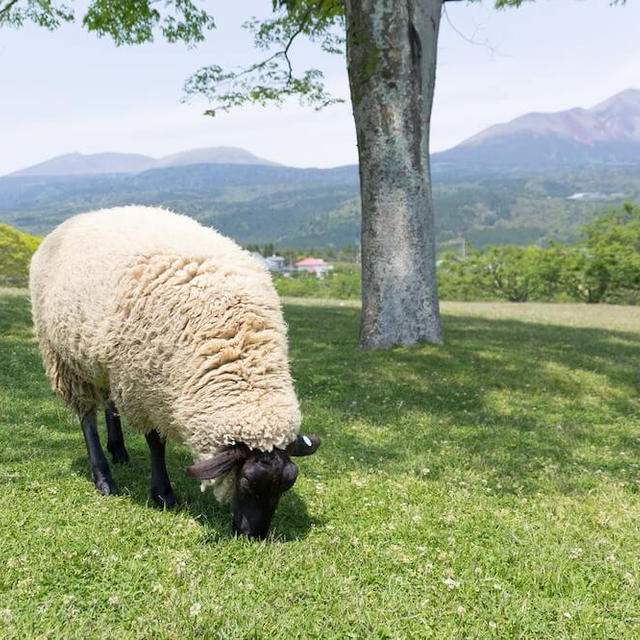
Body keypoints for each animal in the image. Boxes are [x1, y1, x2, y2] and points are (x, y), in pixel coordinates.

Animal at [30, 206, 320, 540]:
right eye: (247, 482)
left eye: (287, 484)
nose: (253, 535)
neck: (234, 344)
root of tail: (81, 217)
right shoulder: (145, 386)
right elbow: (156, 443)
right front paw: (163, 494)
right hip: (65, 359)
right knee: (86, 416)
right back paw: (103, 477)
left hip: (107, 360)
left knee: (110, 403)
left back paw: (118, 451)